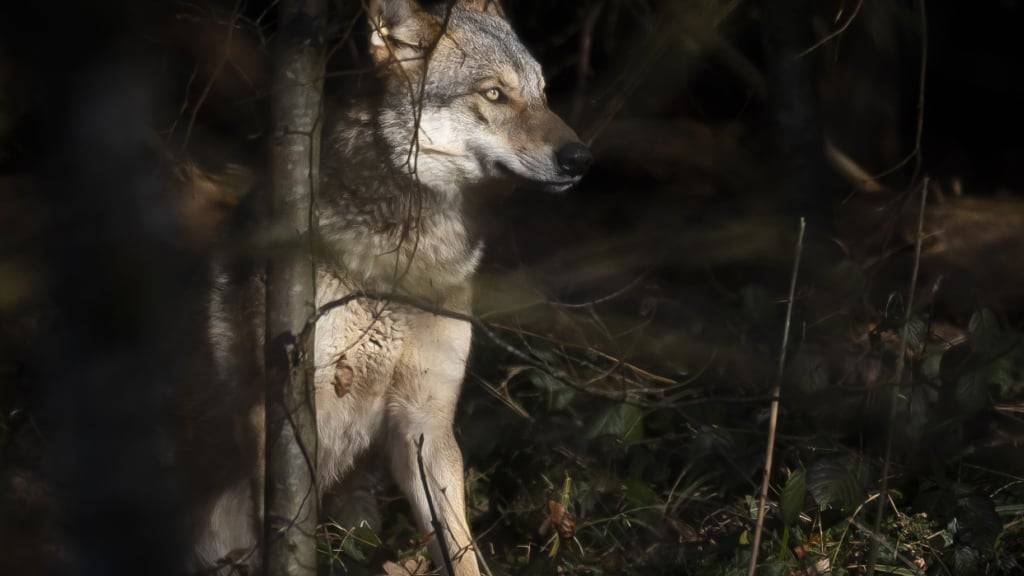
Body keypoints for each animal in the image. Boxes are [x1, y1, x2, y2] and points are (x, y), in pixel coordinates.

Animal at [192, 0, 593, 569]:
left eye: (542, 92)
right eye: (494, 93)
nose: (581, 159)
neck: (408, 262)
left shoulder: (424, 422)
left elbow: (462, 552)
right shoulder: (278, 422)